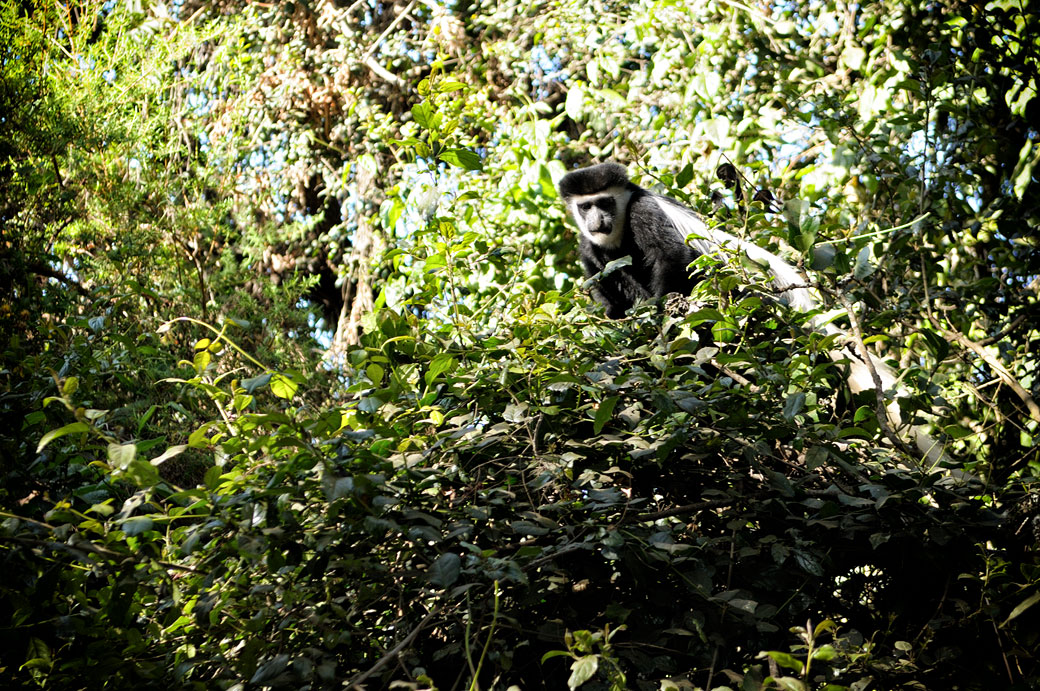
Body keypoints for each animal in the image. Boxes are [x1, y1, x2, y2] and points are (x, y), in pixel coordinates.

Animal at [561, 159, 952, 466]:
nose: (597, 219)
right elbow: (597, 270)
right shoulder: (589, 241)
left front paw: (659, 323)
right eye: (585, 207)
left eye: (605, 202)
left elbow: (671, 257)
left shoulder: (644, 213)